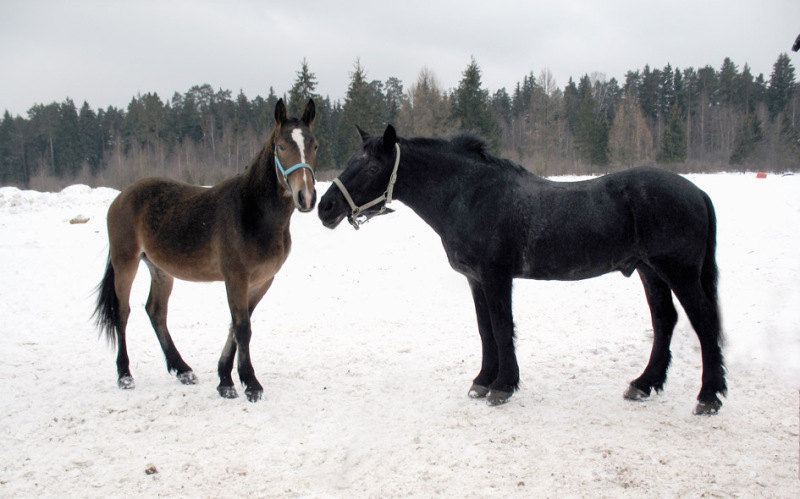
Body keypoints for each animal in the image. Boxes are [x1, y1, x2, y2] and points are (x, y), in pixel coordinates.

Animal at [94, 99, 318, 404]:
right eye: (282, 146)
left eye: (314, 145)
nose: (305, 197)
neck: (252, 212)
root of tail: (121, 197)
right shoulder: (236, 277)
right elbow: (242, 327)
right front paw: (250, 384)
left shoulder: (262, 281)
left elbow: (236, 325)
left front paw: (225, 380)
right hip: (125, 262)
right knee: (122, 311)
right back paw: (125, 375)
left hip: (160, 270)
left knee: (156, 311)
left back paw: (182, 370)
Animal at [318, 125, 724, 414]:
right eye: (352, 160)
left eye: (372, 166)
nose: (326, 207)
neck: (470, 195)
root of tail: (699, 193)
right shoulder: (476, 280)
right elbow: (485, 330)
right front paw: (483, 381)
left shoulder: (496, 277)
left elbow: (501, 328)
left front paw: (503, 386)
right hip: (649, 271)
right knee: (665, 320)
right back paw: (643, 384)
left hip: (679, 272)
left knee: (703, 321)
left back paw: (709, 396)